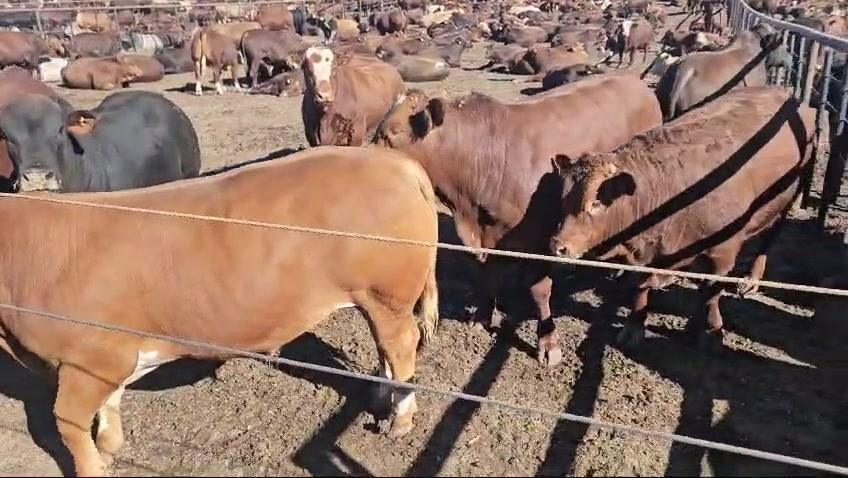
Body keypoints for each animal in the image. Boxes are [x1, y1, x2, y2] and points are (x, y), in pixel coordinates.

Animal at [0, 146, 439, 477]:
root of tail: (392, 159)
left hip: (386, 294)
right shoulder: (108, 359)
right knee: (386, 349)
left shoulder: (90, 357)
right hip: (377, 300)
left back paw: (400, 419)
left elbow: (69, 424)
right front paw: (110, 447)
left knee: (401, 346)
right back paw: (381, 399)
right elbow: (110, 404)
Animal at [372, 73, 663, 366]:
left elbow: (540, 291)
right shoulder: (486, 235)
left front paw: (548, 343)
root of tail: (634, 81)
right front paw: (482, 317)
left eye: (392, 133)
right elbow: (487, 275)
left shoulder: (540, 242)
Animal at [549, 87, 815, 350]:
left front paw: (710, 329)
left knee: (769, 239)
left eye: (596, 203)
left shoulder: (723, 254)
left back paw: (752, 279)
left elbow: (710, 292)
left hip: (786, 202)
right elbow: (640, 288)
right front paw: (634, 326)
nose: (559, 245)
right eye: (563, 198)